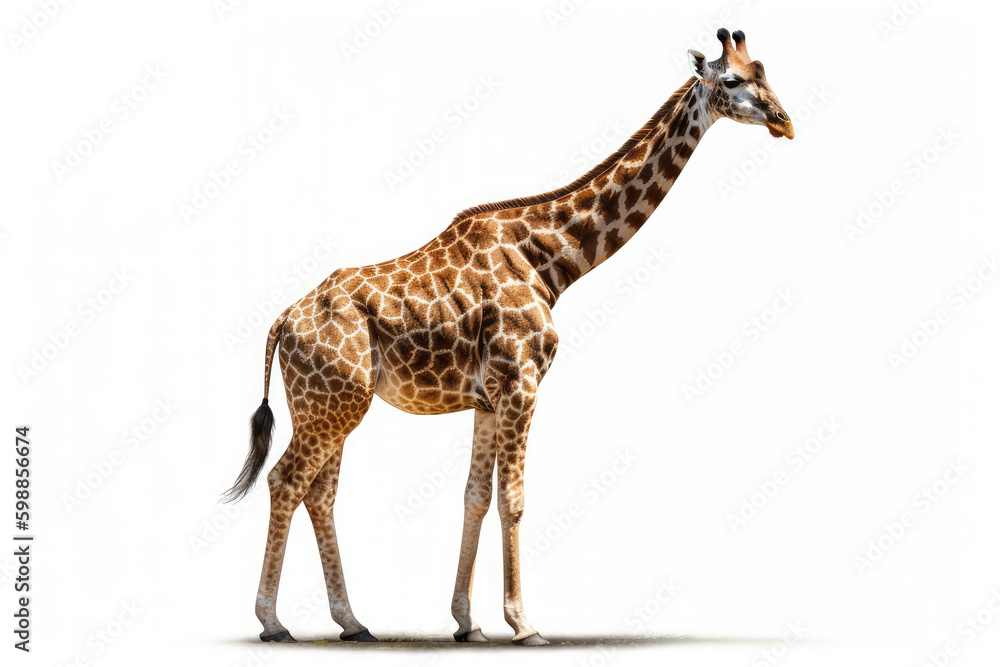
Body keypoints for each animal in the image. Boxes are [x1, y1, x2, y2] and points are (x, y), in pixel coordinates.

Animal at [226, 28, 793, 646]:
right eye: (732, 81)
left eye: (766, 71)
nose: (785, 122)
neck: (552, 261)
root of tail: (282, 322)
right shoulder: (521, 384)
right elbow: (514, 500)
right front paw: (524, 624)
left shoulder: (487, 399)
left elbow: (475, 498)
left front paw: (467, 623)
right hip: (332, 402)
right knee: (286, 481)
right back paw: (273, 622)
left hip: (329, 404)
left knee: (319, 492)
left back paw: (352, 622)